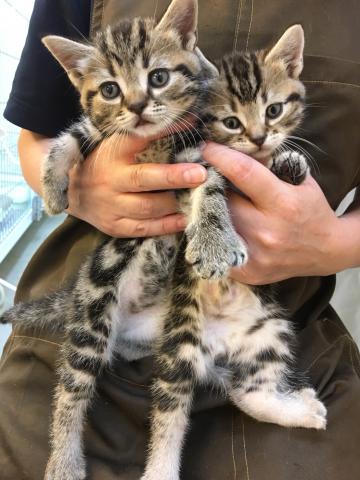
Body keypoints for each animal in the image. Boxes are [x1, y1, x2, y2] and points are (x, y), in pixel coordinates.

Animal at [0, 1, 326, 478]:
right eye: (110, 89)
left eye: (157, 77)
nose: (137, 106)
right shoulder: (123, 136)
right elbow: (73, 135)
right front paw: (54, 185)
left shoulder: (193, 155)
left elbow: (211, 187)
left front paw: (283, 169)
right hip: (106, 312)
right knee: (77, 391)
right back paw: (67, 461)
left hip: (266, 334)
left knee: (245, 392)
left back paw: (299, 410)